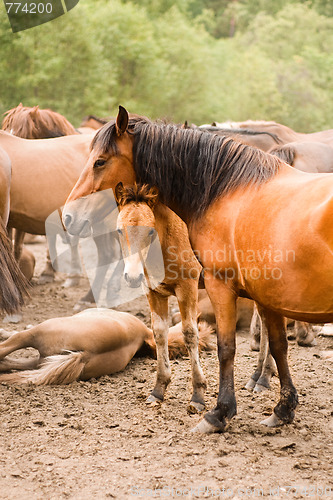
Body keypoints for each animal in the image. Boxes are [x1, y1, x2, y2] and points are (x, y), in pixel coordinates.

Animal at [115, 183, 206, 410]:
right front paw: (158, 391)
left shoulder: (188, 287)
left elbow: (190, 333)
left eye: (150, 230)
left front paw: (198, 396)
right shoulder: (153, 291)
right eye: (119, 230)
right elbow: (159, 333)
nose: (132, 276)